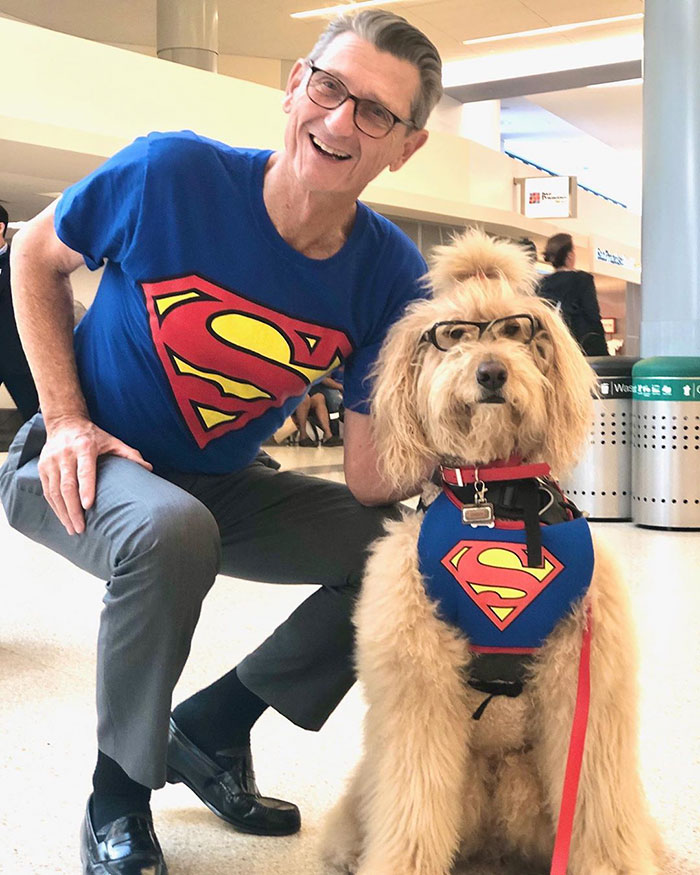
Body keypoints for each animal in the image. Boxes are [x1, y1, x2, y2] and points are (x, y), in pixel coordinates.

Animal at [320, 229, 660, 872]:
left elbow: (598, 801)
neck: (497, 495)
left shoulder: (584, 680)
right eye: (454, 335)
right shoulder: (419, 681)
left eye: (515, 331)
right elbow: (412, 803)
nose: (492, 373)